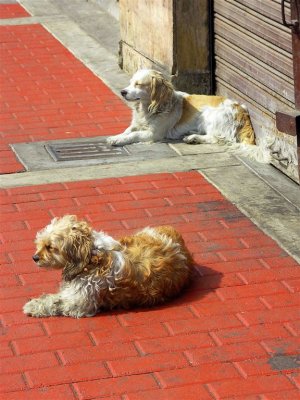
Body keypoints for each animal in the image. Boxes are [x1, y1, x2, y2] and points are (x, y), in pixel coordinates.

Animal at [22, 216, 192, 318]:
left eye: (50, 247)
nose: (34, 257)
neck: (91, 257)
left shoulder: (80, 304)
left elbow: (55, 302)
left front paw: (34, 306)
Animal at [106, 69, 270, 163]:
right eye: (130, 83)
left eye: (138, 84)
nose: (122, 92)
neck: (150, 108)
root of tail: (242, 110)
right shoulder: (136, 125)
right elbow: (127, 131)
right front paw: (116, 136)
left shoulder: (153, 134)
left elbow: (133, 135)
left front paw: (118, 140)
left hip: (209, 114)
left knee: (217, 138)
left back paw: (193, 138)